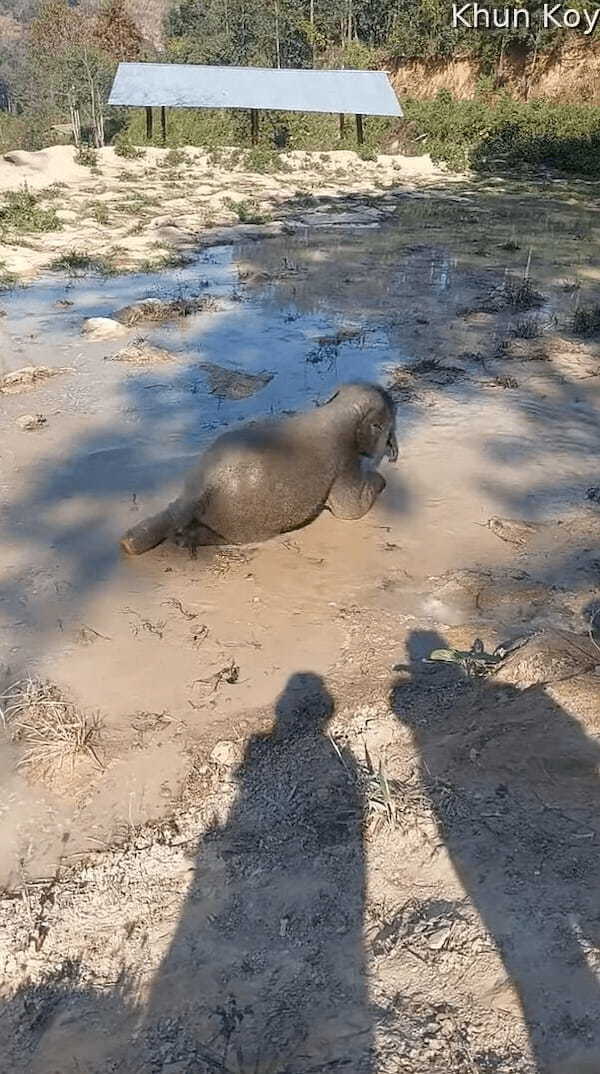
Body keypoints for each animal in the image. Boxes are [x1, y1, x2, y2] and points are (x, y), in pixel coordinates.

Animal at [120, 382, 399, 554]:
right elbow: (350, 510)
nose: (393, 452)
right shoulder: (343, 460)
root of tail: (196, 492)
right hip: (244, 520)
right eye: (388, 425)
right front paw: (379, 478)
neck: (337, 408)